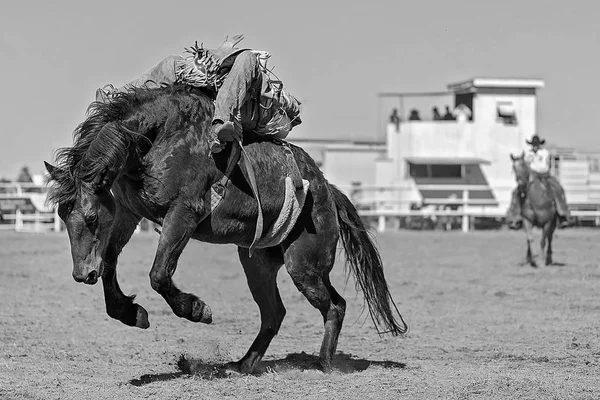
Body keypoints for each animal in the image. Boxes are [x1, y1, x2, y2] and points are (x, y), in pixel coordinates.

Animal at [43, 85, 408, 376]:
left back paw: (326, 364)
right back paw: (243, 364)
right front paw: (132, 313)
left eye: (91, 217)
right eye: (62, 215)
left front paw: (196, 309)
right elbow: (109, 263)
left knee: (334, 306)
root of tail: (327, 189)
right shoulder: (129, 213)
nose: (81, 274)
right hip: (258, 263)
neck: (159, 137)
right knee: (275, 313)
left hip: (304, 265)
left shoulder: (184, 213)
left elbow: (159, 274)